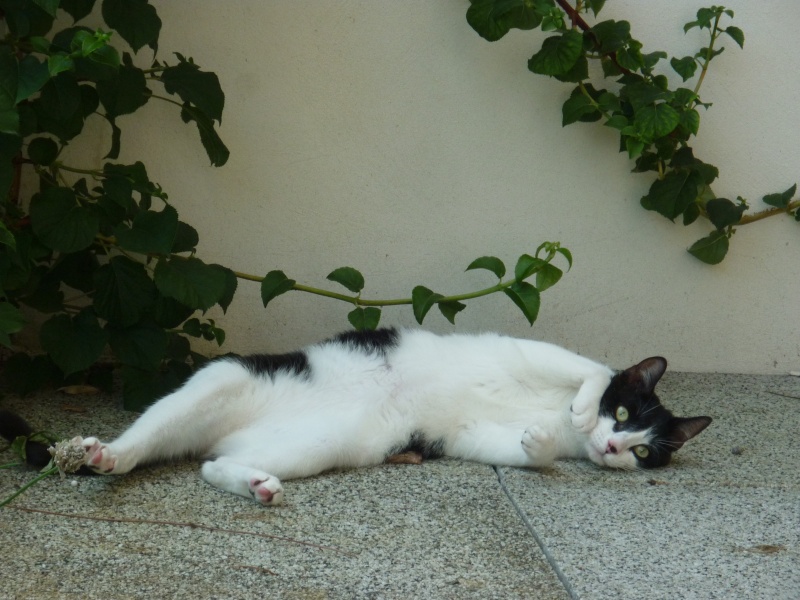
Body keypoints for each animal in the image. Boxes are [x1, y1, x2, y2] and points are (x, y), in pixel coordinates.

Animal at [6, 328, 708, 506]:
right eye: (624, 411)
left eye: (646, 450)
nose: (613, 446)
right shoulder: (532, 351)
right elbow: (585, 369)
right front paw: (582, 404)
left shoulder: (472, 436)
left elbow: (521, 448)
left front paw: (537, 439)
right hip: (221, 380)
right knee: (145, 438)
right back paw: (104, 453)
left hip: (315, 443)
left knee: (212, 465)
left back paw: (252, 484)